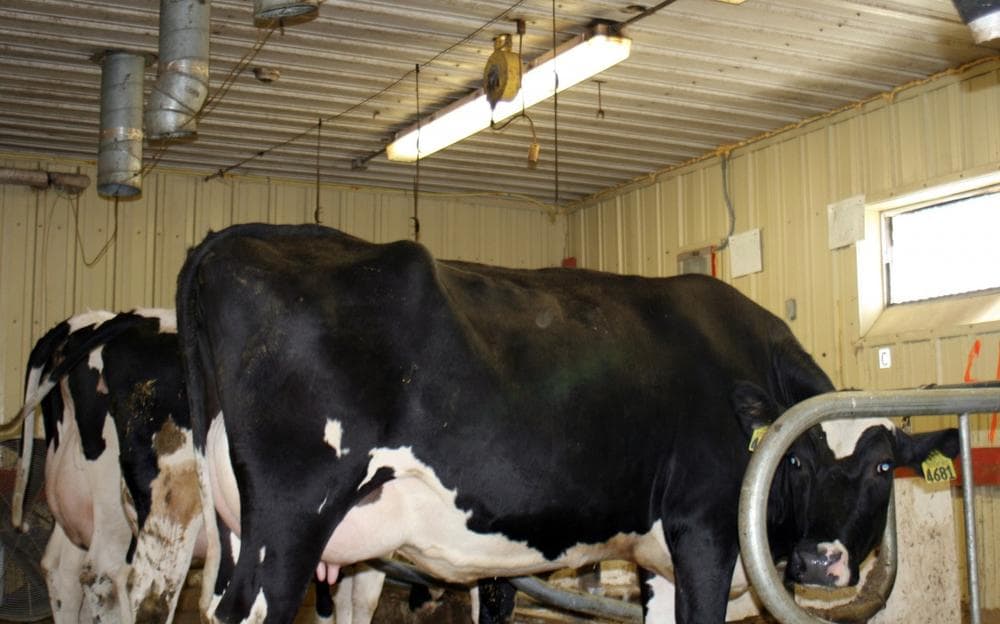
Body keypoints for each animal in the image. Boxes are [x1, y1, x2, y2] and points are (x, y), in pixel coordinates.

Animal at [175, 222, 959, 624]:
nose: (820, 563)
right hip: (289, 522)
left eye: (881, 467)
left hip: (237, 528)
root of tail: (237, 237)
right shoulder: (704, 528)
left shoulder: (658, 558)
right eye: (794, 460)